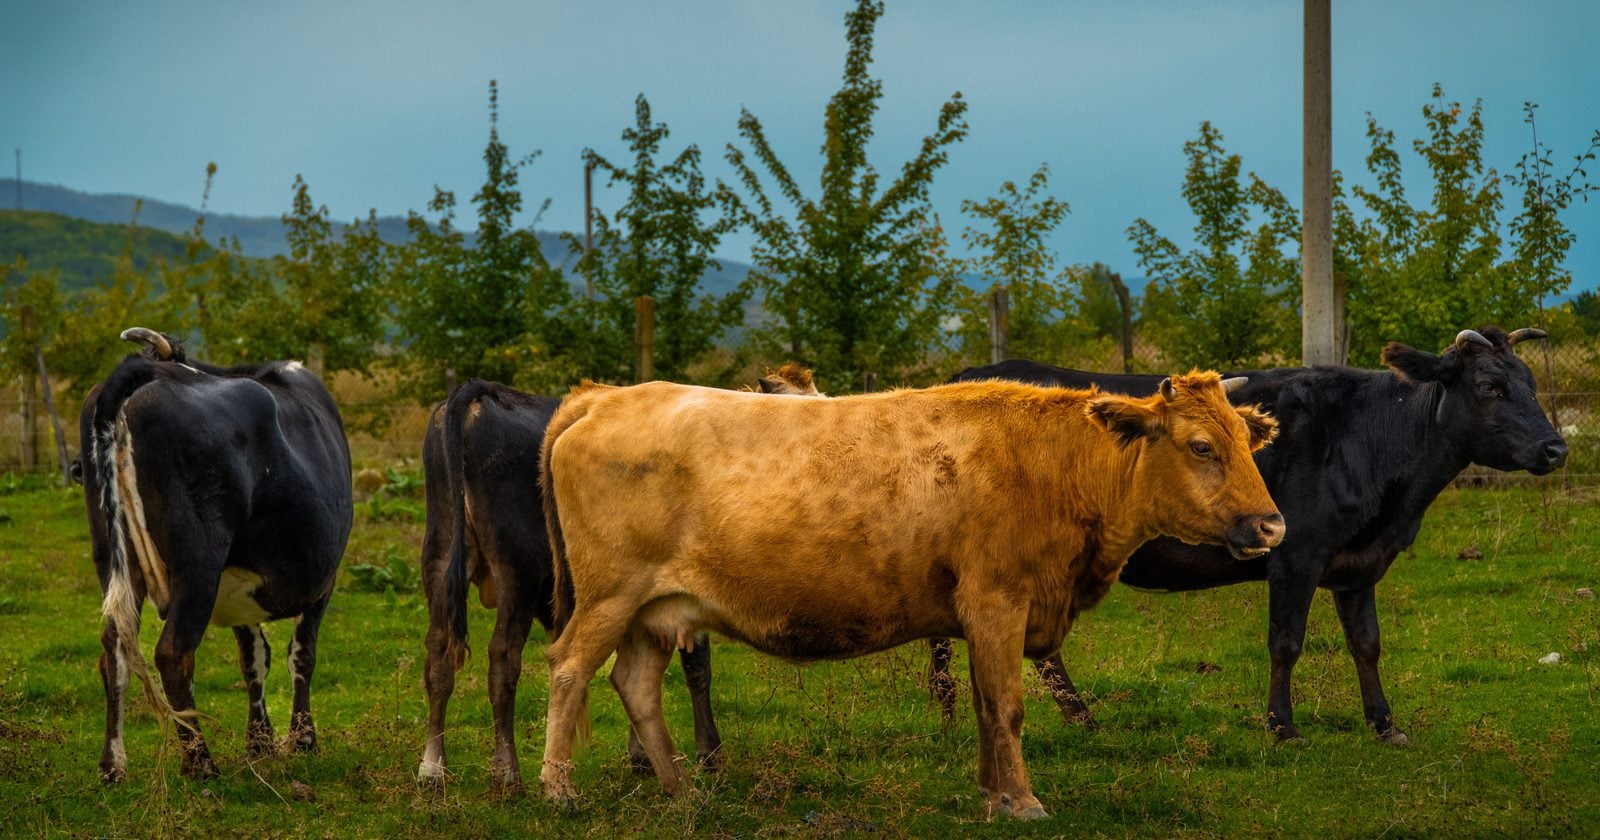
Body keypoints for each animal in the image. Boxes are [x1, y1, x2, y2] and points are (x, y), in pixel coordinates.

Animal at [79, 327, 352, 782]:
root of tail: (148, 368)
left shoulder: (240, 590)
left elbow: (255, 658)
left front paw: (260, 743)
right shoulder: (321, 584)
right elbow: (302, 654)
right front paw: (302, 740)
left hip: (113, 558)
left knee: (113, 648)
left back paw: (112, 765)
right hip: (198, 562)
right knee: (172, 653)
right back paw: (200, 763)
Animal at [417, 364, 820, 790]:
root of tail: (480, 393)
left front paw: (643, 753)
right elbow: (697, 669)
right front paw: (708, 754)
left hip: (440, 555)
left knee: (439, 654)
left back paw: (432, 769)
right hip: (518, 570)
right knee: (503, 659)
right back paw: (508, 772)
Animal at [537, 371, 1282, 819]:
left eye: (1247, 443)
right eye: (1201, 446)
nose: (1271, 525)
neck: (1053, 464)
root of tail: (605, 394)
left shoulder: (980, 616)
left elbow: (984, 707)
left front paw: (992, 795)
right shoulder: (998, 602)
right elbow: (1007, 706)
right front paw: (1023, 802)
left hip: (651, 611)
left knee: (634, 683)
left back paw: (683, 789)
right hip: (608, 595)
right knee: (569, 668)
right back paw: (558, 787)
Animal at [931, 326, 1567, 745]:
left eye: (1531, 383)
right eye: (1489, 387)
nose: (1556, 447)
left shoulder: (1358, 565)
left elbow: (1367, 644)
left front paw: (1386, 726)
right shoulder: (1295, 555)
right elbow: (1285, 642)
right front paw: (1282, 728)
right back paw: (961, 716)